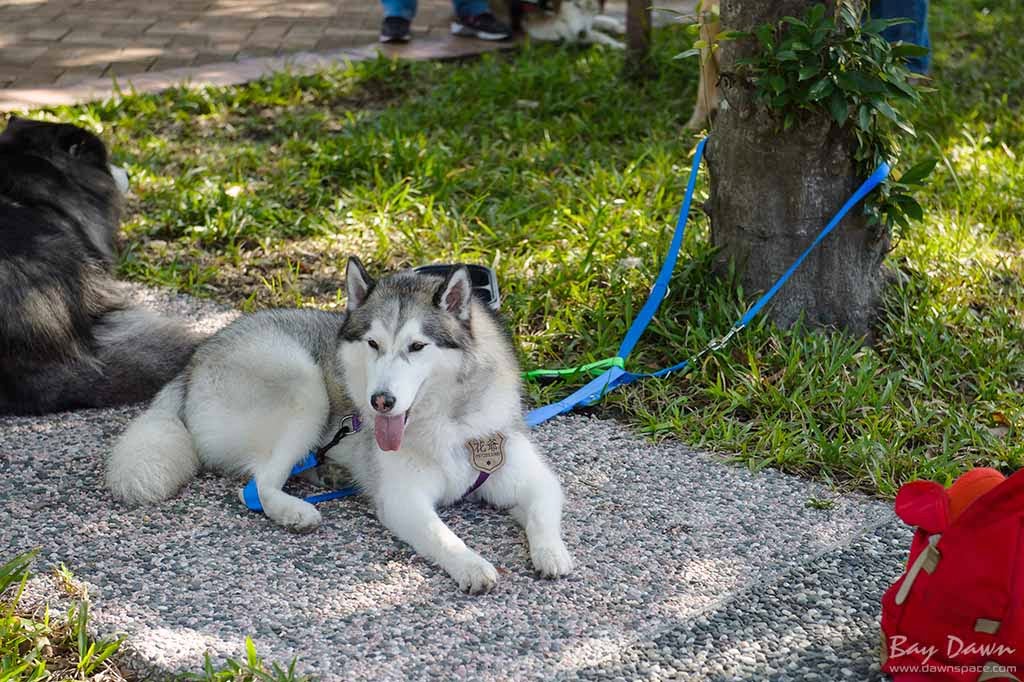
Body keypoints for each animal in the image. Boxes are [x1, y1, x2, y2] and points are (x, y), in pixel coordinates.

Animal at [111, 258, 577, 593]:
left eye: (417, 346)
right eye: (373, 344)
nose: (380, 401)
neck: (448, 420)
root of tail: (196, 358)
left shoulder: (526, 474)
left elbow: (543, 509)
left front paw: (551, 554)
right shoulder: (403, 500)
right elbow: (444, 535)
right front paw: (471, 564)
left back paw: (326, 472)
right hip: (305, 386)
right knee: (257, 486)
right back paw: (294, 510)